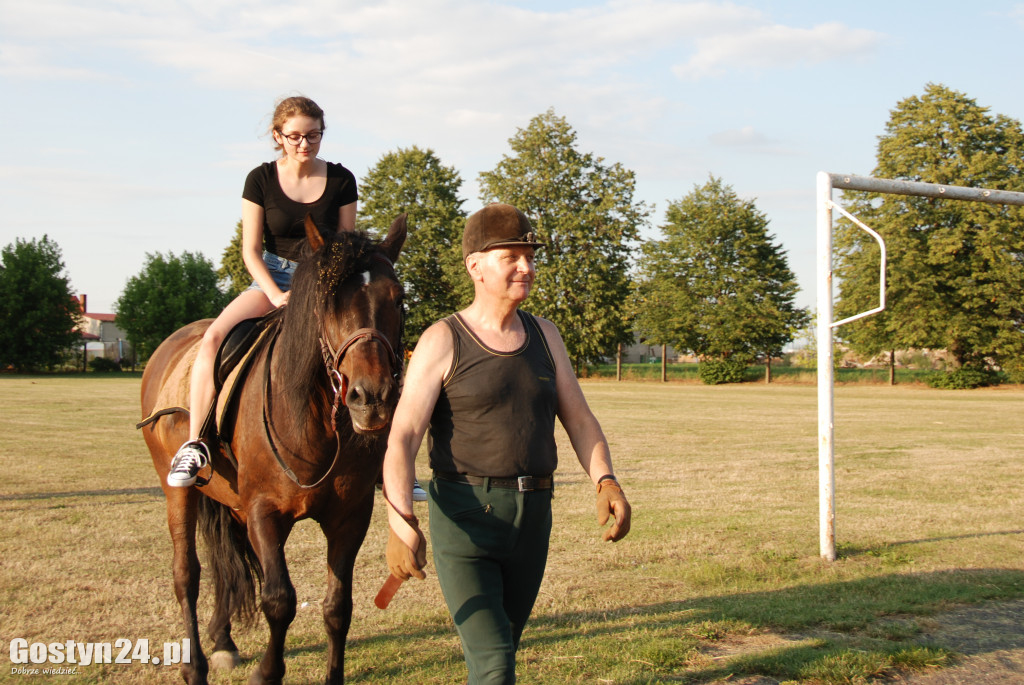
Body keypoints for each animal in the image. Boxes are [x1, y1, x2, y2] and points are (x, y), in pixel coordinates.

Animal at [137, 215, 407, 683]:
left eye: (399, 298)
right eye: (328, 302)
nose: (371, 397)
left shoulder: (349, 517)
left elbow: (338, 607)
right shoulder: (264, 510)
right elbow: (279, 599)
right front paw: (267, 672)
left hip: (232, 504)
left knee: (227, 566)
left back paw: (223, 641)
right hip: (178, 490)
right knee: (187, 573)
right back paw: (194, 665)